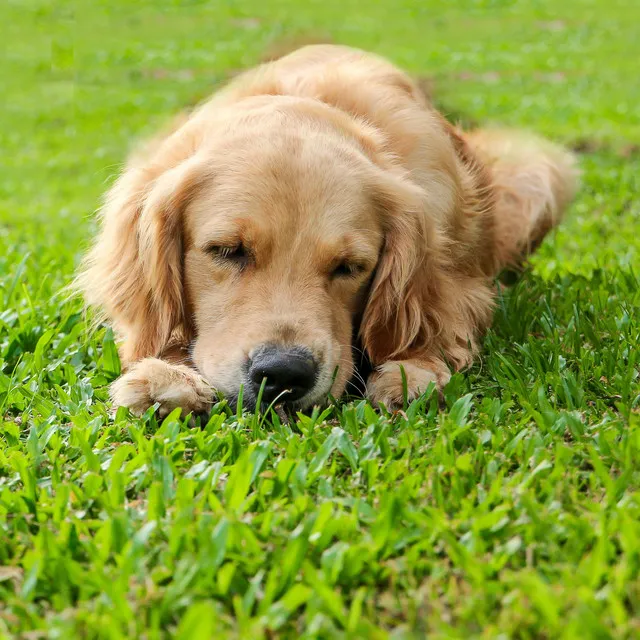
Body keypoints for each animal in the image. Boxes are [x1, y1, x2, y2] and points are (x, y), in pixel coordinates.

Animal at [76, 43, 580, 416]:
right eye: (226, 250)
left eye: (350, 266)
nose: (283, 375)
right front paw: (166, 376)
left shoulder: (459, 278)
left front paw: (413, 373)